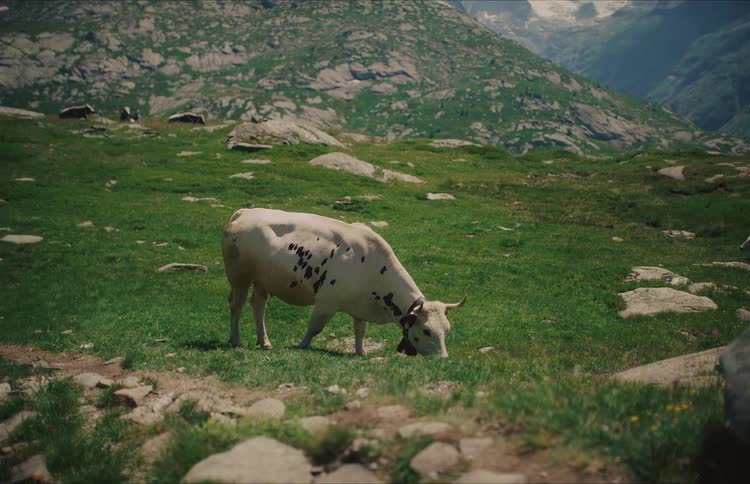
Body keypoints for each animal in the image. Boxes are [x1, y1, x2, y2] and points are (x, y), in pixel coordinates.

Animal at [221, 208, 466, 357]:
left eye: (447, 329)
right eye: (426, 330)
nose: (443, 358)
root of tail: (246, 212)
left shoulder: (361, 306)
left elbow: (360, 330)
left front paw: (360, 352)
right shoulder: (326, 302)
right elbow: (314, 328)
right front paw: (302, 345)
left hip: (262, 280)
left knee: (258, 305)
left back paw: (264, 342)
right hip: (239, 277)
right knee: (236, 305)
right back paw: (235, 340)